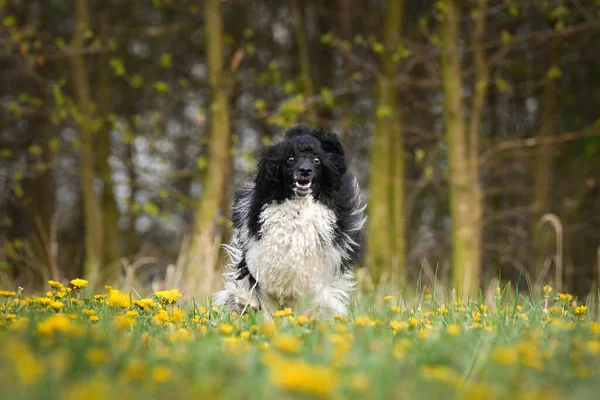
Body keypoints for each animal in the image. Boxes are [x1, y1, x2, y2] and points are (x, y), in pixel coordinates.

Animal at [213, 125, 368, 318]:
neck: (298, 210)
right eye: (290, 159)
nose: (305, 170)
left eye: (317, 160)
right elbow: (256, 292)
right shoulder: (260, 260)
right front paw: (249, 304)